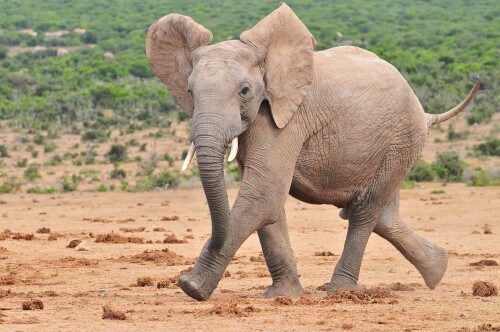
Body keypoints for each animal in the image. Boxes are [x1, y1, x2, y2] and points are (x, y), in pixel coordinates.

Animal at [146, 4, 480, 300]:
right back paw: (438, 269)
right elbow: (270, 205)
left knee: (365, 212)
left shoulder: (286, 120)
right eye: (190, 92)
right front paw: (284, 296)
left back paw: (341, 291)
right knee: (382, 214)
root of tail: (425, 112)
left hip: (401, 140)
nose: (184, 279)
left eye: (244, 91)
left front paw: (192, 288)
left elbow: (262, 195)